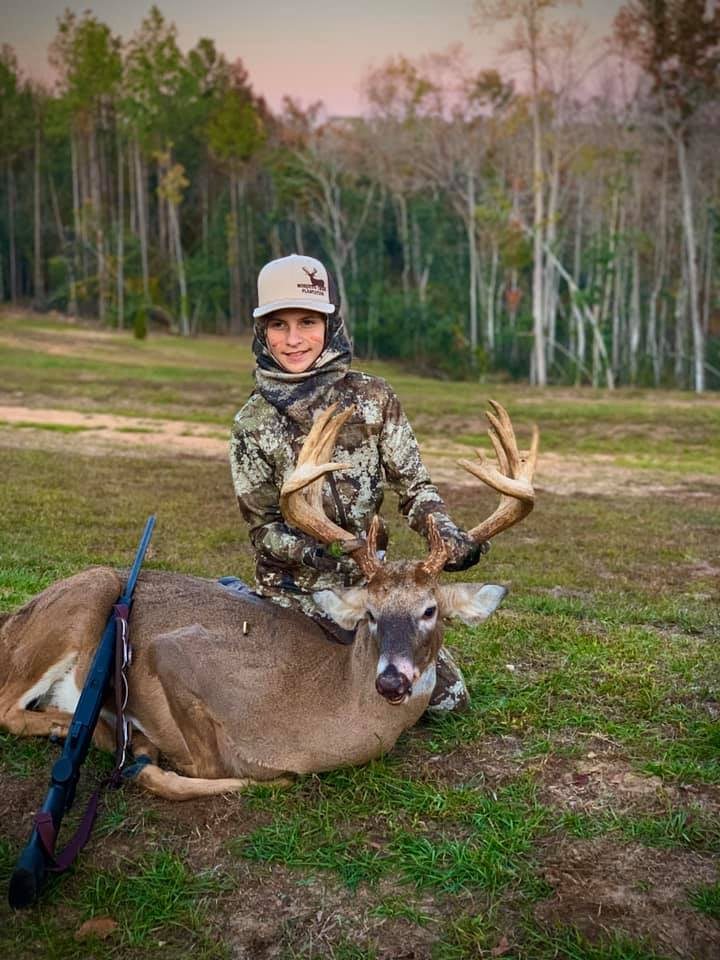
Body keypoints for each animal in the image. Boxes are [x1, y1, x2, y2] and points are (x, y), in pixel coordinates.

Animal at [0, 402, 538, 801]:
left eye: (430, 611)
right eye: (369, 613)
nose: (390, 681)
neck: (325, 706)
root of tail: (8, 626)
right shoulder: (174, 652)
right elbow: (212, 768)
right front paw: (140, 751)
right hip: (83, 600)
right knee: (8, 706)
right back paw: (74, 729)